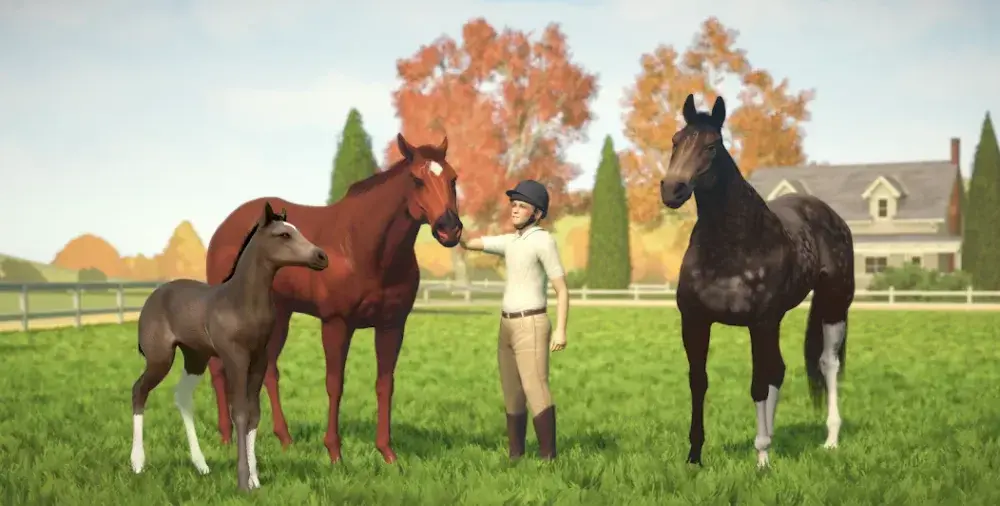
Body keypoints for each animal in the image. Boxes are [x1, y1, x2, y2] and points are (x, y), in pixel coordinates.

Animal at [130, 202, 329, 491]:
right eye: (283, 235)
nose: (322, 257)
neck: (242, 303)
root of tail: (153, 296)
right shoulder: (235, 358)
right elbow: (240, 413)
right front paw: (243, 482)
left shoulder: (259, 360)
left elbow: (254, 413)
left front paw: (255, 479)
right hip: (160, 358)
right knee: (139, 391)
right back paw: (137, 463)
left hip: (196, 358)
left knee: (182, 397)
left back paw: (201, 465)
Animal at [204, 133, 463, 464]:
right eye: (417, 180)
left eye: (453, 178)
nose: (449, 229)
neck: (362, 247)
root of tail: (224, 228)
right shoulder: (336, 323)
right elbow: (335, 384)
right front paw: (334, 452)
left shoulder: (392, 325)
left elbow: (385, 384)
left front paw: (387, 453)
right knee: (218, 367)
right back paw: (226, 435)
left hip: (280, 314)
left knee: (269, 370)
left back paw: (284, 438)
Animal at [659, 94, 855, 469]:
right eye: (676, 140)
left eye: (712, 146)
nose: (673, 189)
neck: (733, 245)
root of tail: (828, 214)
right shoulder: (694, 321)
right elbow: (698, 382)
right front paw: (694, 456)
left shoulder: (759, 323)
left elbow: (757, 386)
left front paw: (761, 457)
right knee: (779, 369)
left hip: (833, 304)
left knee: (827, 363)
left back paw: (830, 438)